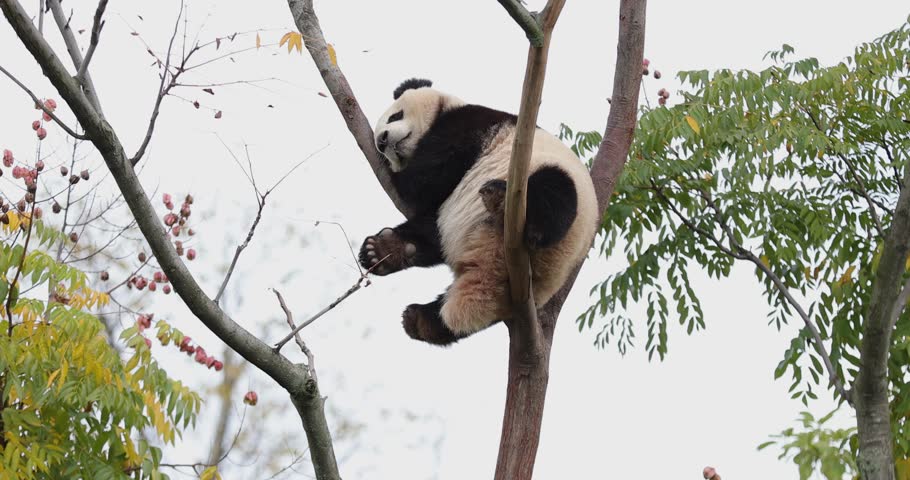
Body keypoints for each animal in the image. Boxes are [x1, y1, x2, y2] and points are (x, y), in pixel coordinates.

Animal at [359, 78, 597, 346]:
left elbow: (421, 180)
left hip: (549, 188)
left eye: (395, 116)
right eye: (380, 145)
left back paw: (504, 201)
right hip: (459, 227)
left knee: (555, 194)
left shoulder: (466, 124)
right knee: (432, 235)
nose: (382, 141)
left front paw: (397, 175)